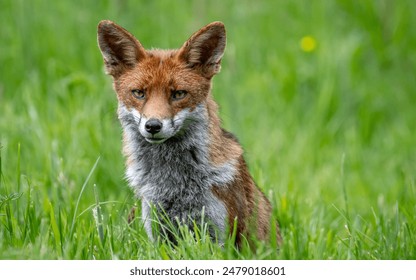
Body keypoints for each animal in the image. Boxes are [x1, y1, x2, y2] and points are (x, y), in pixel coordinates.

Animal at [97, 20, 280, 246]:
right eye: (139, 93)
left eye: (178, 94)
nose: (153, 126)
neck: (173, 183)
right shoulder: (157, 230)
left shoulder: (219, 232)